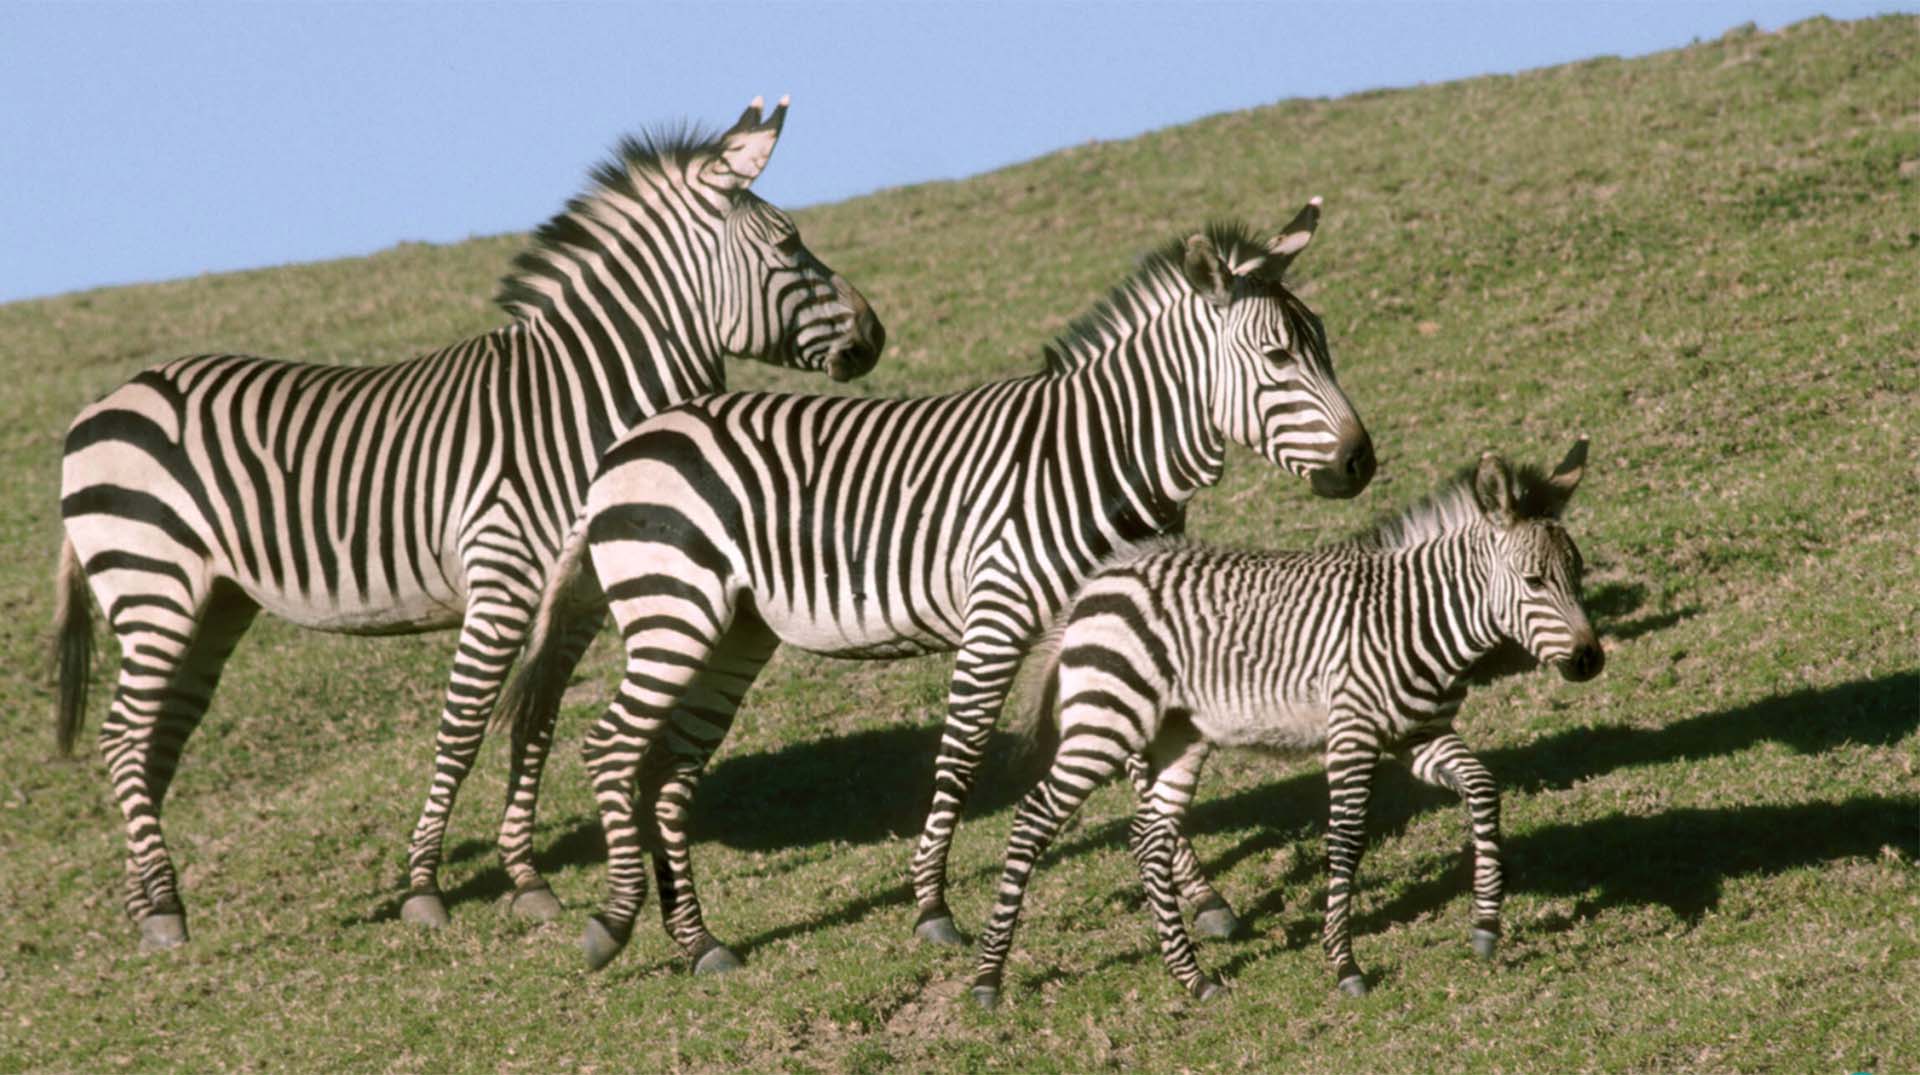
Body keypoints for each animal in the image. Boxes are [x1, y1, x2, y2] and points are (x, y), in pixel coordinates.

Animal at [45, 94, 883, 948]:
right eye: (787, 243)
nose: (873, 335)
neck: (580, 406)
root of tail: (101, 403)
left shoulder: (578, 597)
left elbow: (536, 722)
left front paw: (527, 879)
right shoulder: (502, 579)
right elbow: (464, 726)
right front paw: (424, 887)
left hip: (212, 601)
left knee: (156, 738)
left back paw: (144, 901)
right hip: (153, 582)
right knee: (123, 735)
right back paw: (165, 907)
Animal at [506, 203, 1382, 975]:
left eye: (1326, 347)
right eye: (1277, 358)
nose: (1360, 462)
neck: (1100, 454)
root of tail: (626, 445)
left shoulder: (1120, 623)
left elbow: (1137, 764)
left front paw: (1204, 899)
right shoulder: (999, 609)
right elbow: (960, 756)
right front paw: (931, 907)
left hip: (734, 630)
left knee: (670, 768)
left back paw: (699, 941)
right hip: (672, 610)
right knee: (610, 747)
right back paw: (615, 923)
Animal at [975, 437, 1605, 1005]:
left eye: (1578, 574)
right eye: (1533, 582)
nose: (1589, 661)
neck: (1416, 619)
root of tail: (1094, 587)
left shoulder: (1418, 735)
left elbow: (1483, 788)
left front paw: (1486, 926)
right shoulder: (1351, 733)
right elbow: (1346, 840)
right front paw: (1344, 965)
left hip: (1178, 736)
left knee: (1148, 838)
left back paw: (1193, 978)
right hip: (1105, 723)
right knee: (1033, 818)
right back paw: (988, 979)